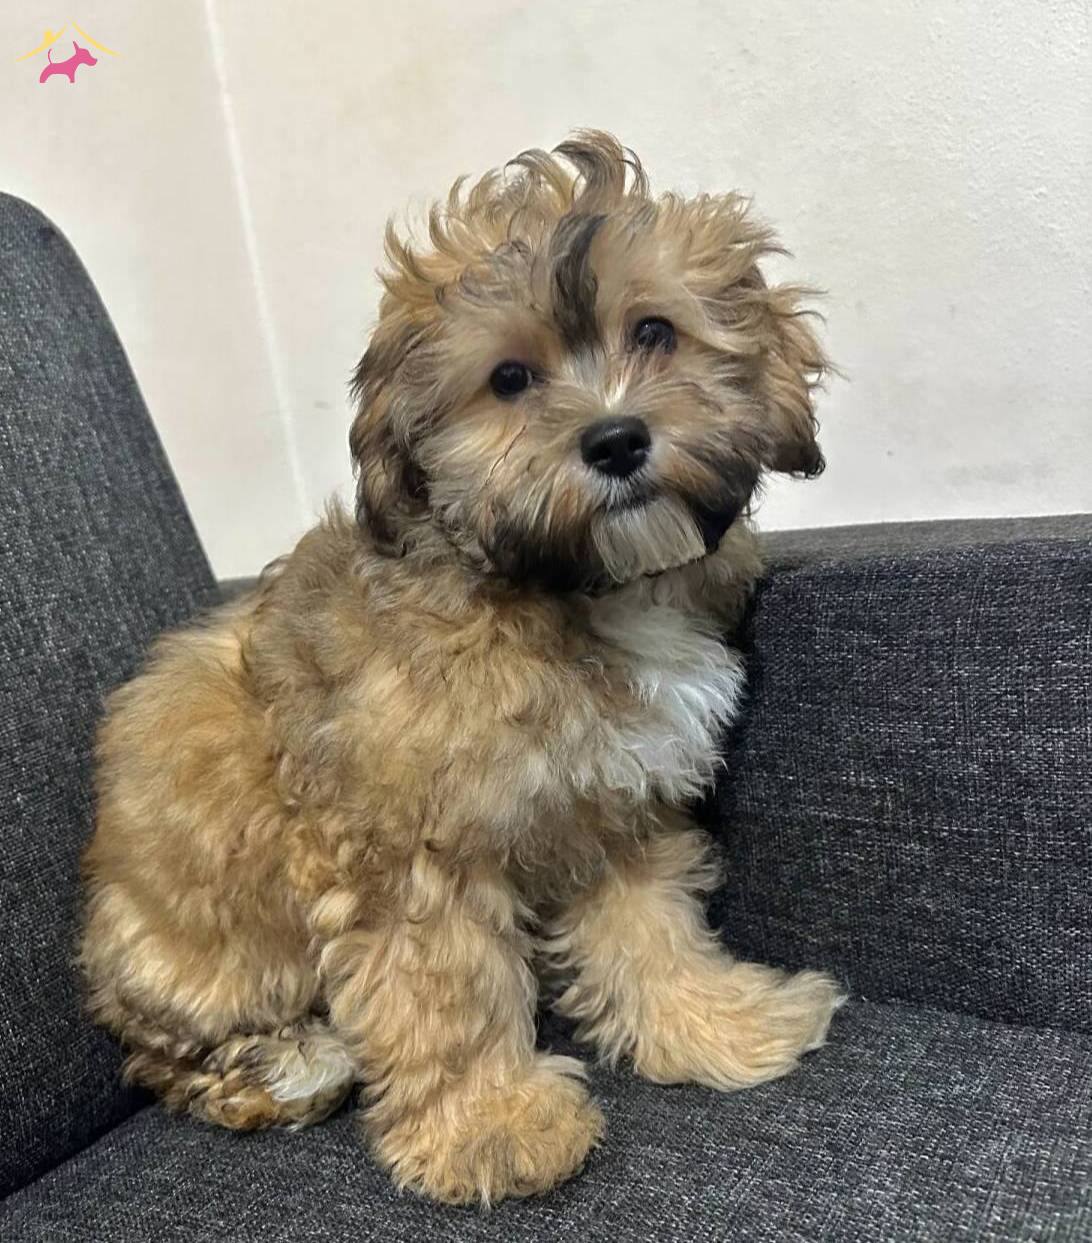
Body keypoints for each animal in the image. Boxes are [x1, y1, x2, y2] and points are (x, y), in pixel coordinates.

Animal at [81, 131, 842, 1205]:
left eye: (654, 331)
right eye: (510, 379)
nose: (617, 439)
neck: (564, 588)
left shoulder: (616, 801)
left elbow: (650, 929)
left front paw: (714, 1022)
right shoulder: (408, 846)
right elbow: (447, 989)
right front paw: (493, 1125)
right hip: (189, 957)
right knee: (172, 1053)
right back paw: (284, 1067)